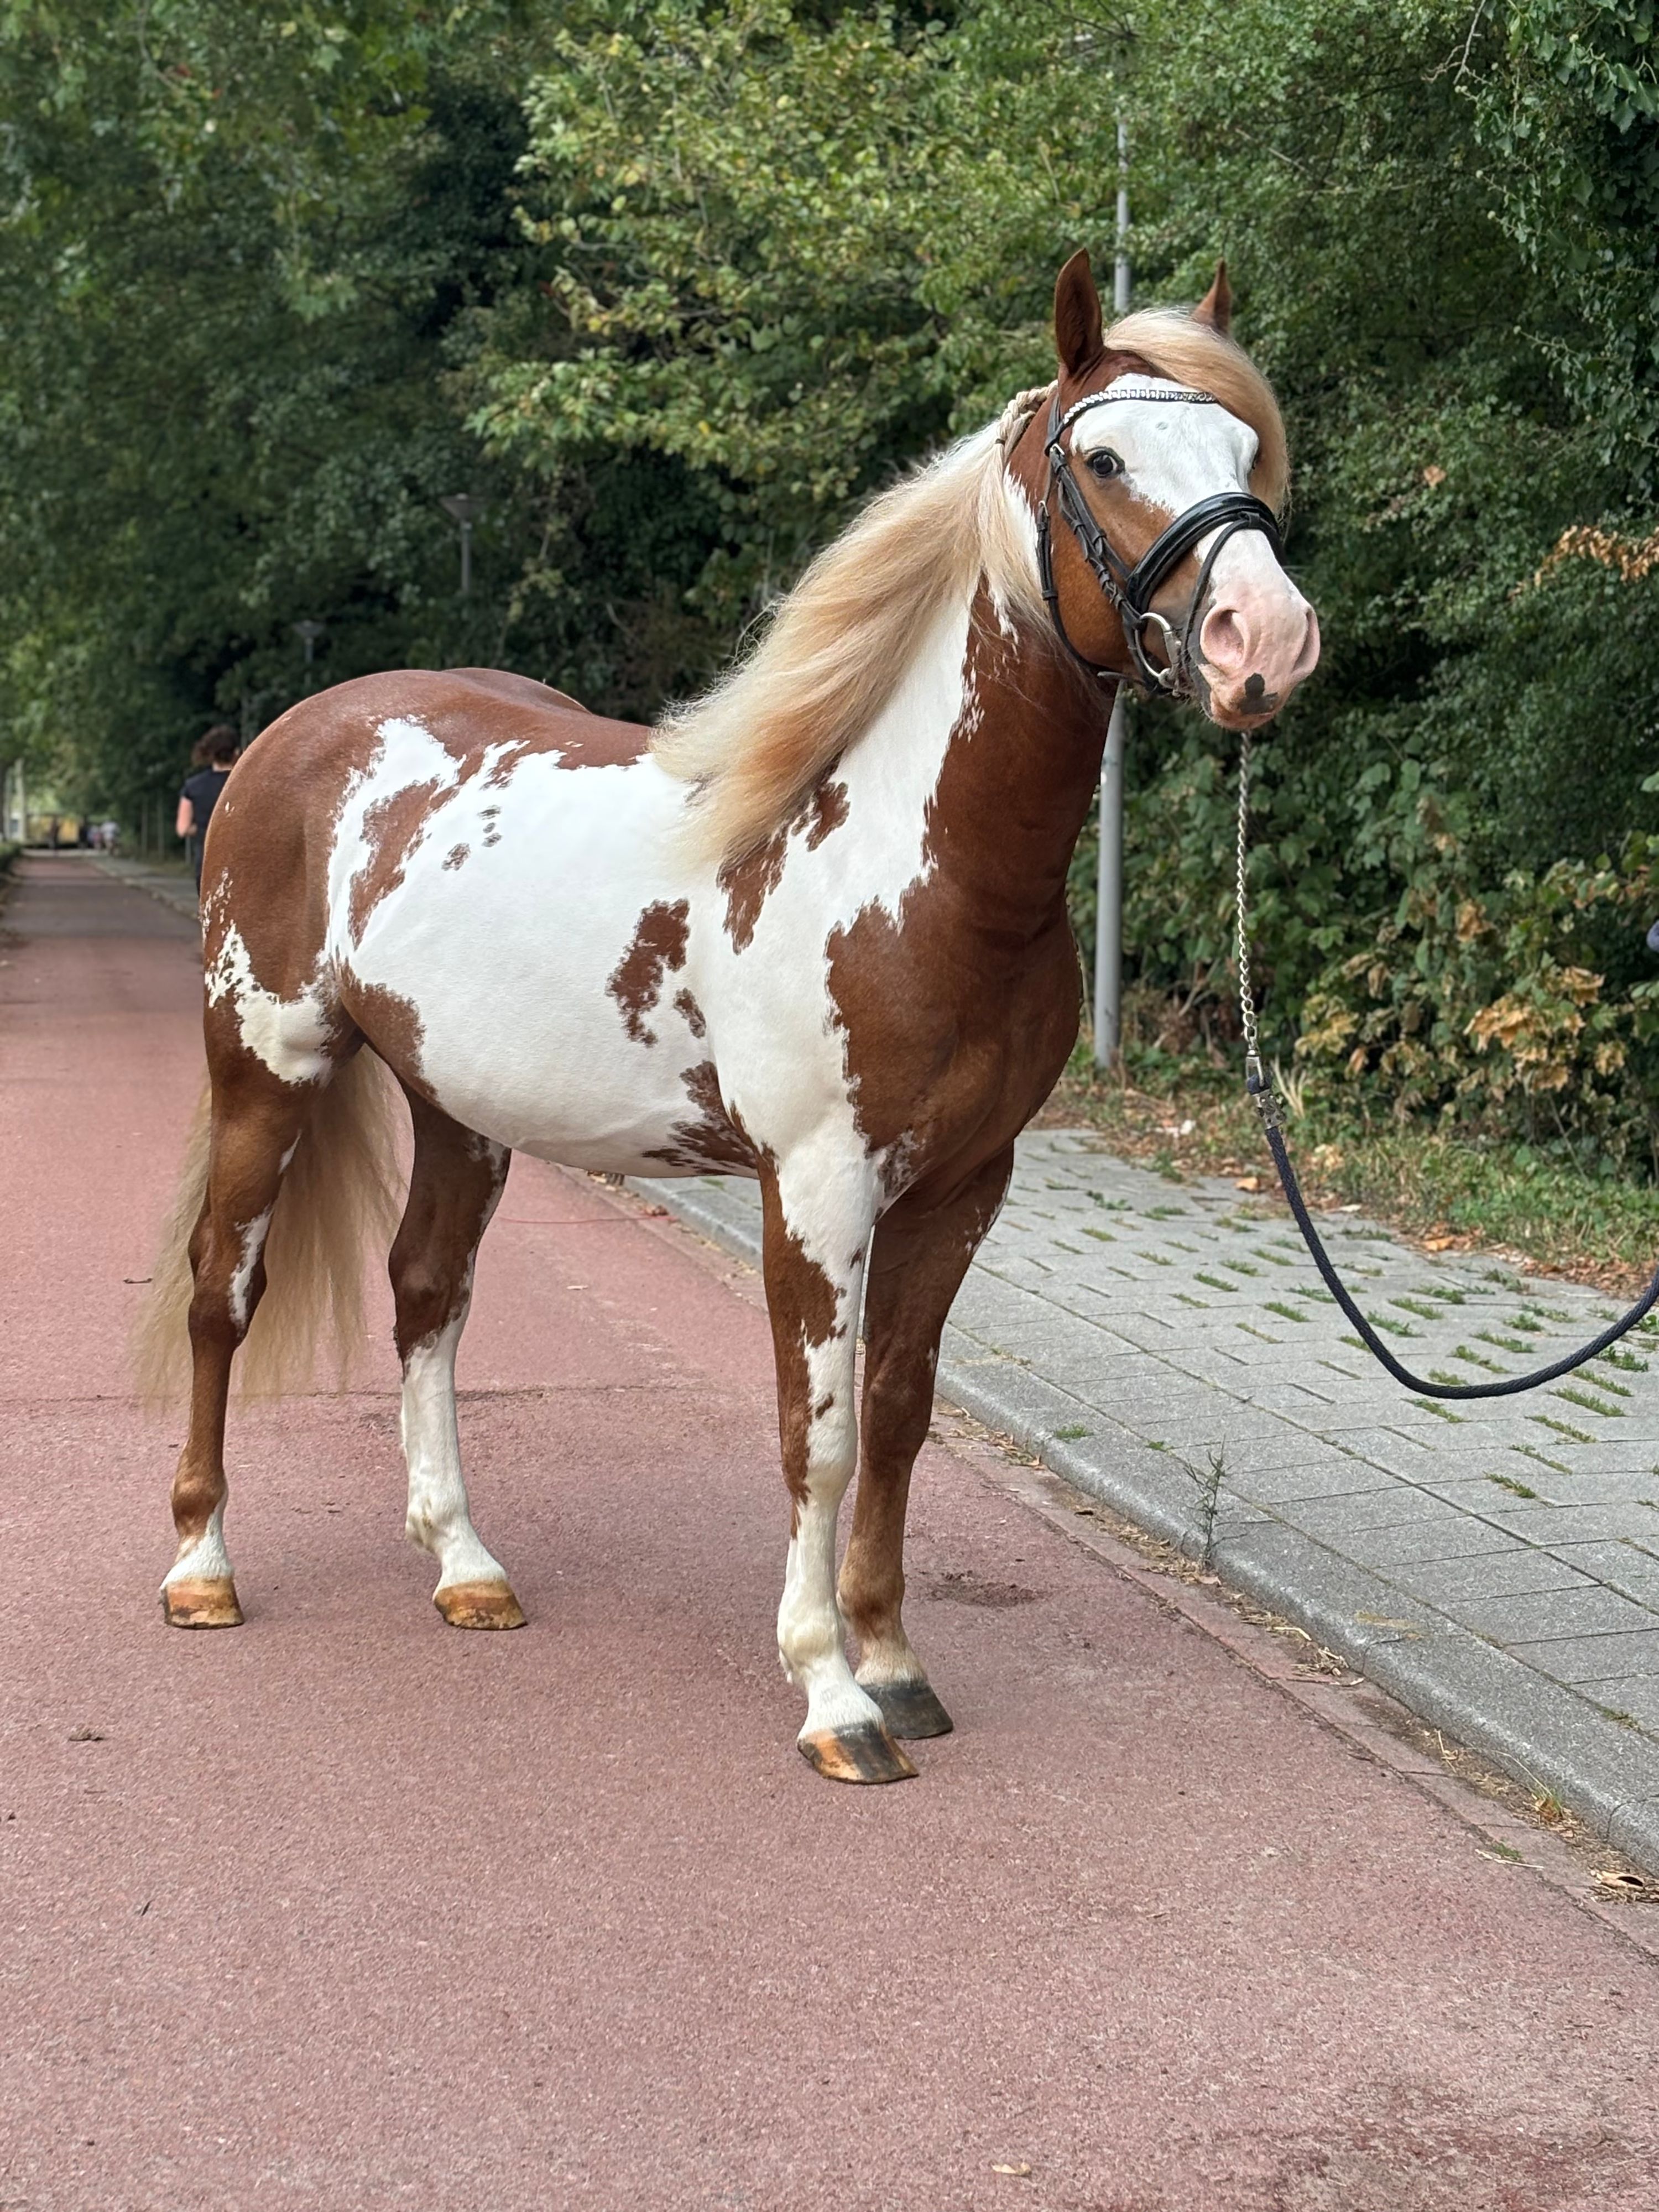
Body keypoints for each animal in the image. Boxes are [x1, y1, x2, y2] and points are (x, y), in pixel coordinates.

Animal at [137, 251, 1319, 1785]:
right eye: (1105, 458)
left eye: (1244, 450)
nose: (1267, 642)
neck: (910, 860)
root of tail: (293, 738)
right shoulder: (812, 1187)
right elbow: (816, 1434)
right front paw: (829, 1693)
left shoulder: (964, 1185)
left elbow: (897, 1413)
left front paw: (894, 1661)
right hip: (265, 1065)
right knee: (224, 1287)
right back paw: (201, 1565)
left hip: (459, 1108)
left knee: (426, 1293)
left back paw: (465, 1564)